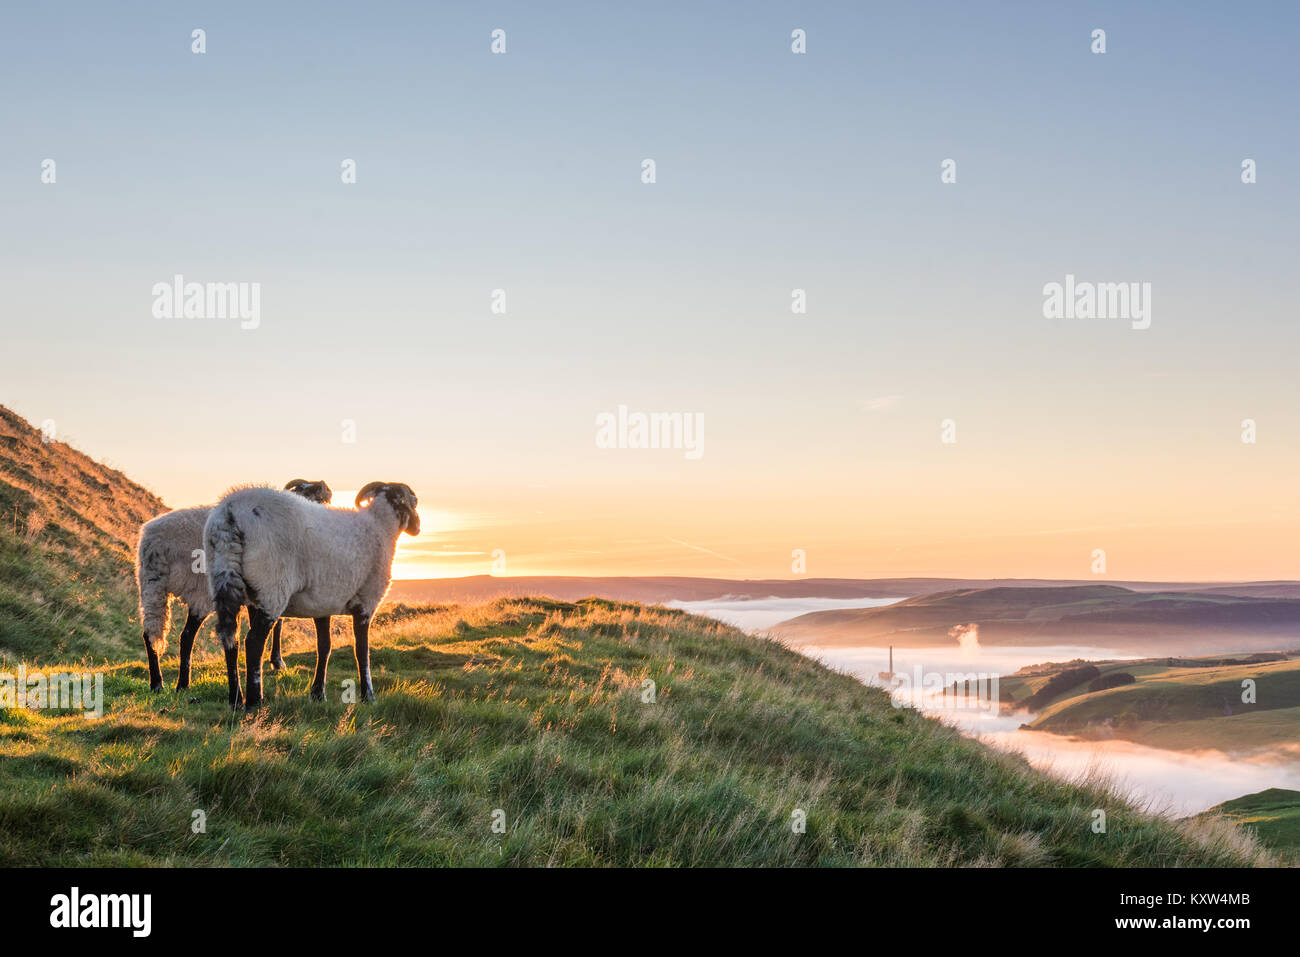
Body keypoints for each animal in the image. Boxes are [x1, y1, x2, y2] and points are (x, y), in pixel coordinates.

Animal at [133, 475, 330, 686]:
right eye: (306, 493)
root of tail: (156, 542)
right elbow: (276, 624)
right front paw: (276, 661)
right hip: (198, 591)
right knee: (185, 635)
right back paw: (179, 683)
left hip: (151, 585)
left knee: (153, 632)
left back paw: (160, 683)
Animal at [201, 481, 421, 707]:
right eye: (412, 501)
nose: (418, 526)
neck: (380, 527)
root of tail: (230, 510)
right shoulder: (366, 601)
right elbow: (362, 651)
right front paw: (368, 696)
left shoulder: (323, 603)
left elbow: (324, 647)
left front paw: (317, 694)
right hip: (271, 586)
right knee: (253, 642)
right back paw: (254, 702)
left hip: (228, 580)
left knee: (231, 640)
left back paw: (235, 700)